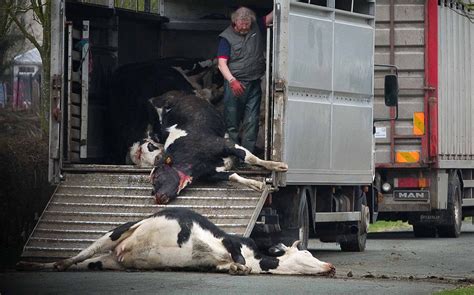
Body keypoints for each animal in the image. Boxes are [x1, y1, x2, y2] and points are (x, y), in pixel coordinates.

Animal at [148, 91, 288, 205]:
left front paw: (277, 166)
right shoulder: (211, 174)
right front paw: (256, 184)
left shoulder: (223, 144)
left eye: (157, 177)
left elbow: (250, 157)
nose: (156, 197)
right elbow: (233, 176)